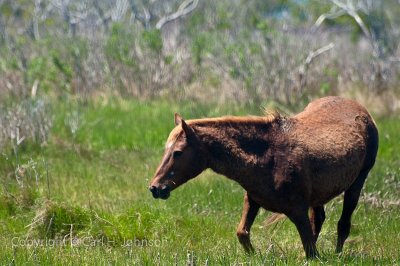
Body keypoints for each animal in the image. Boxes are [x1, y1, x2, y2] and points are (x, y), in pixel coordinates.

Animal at [149, 96, 378, 258]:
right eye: (166, 149)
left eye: (178, 152)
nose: (155, 188)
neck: (269, 156)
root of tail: (362, 110)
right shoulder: (253, 199)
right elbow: (242, 233)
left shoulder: (298, 210)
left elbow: (310, 251)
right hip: (319, 197)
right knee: (320, 219)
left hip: (357, 183)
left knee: (343, 224)